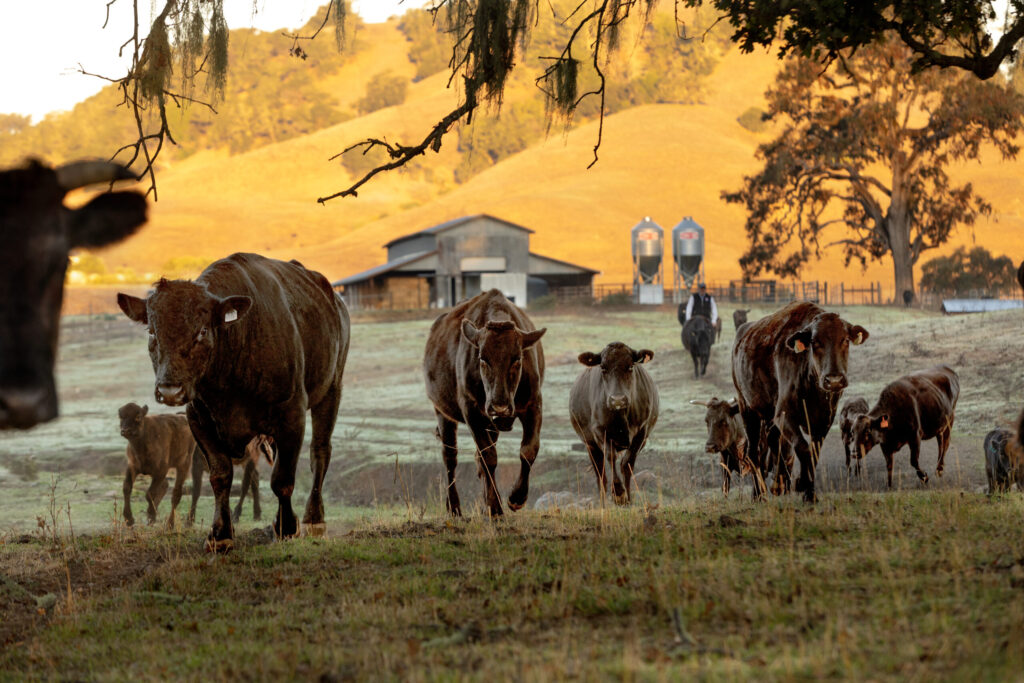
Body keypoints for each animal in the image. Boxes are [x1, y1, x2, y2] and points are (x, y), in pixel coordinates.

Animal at [117, 253, 350, 551]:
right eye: (152, 333)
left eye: (202, 331)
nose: (170, 390)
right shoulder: (199, 421)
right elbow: (220, 476)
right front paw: (220, 534)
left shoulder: (292, 415)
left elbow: (282, 478)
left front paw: (286, 527)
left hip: (331, 390)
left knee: (320, 451)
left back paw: (314, 519)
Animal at [424, 289, 545, 517]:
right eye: (482, 358)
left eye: (517, 359)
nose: (500, 406)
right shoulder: (472, 412)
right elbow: (488, 456)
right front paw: (496, 508)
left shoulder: (533, 405)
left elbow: (528, 450)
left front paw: (516, 498)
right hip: (442, 413)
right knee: (450, 457)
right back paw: (454, 507)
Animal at [570, 343, 658, 504]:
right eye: (603, 367)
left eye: (630, 366)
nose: (618, 400)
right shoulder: (599, 431)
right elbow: (611, 457)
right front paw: (618, 492)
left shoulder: (642, 433)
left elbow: (627, 464)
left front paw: (626, 498)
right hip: (590, 445)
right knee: (601, 475)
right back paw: (603, 504)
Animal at [733, 301, 869, 502]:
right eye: (815, 342)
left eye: (845, 339)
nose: (834, 380)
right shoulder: (785, 415)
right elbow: (803, 448)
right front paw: (801, 483)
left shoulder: (823, 422)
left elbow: (813, 453)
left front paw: (809, 494)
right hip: (748, 409)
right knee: (754, 452)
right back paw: (759, 493)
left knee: (774, 443)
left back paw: (778, 485)